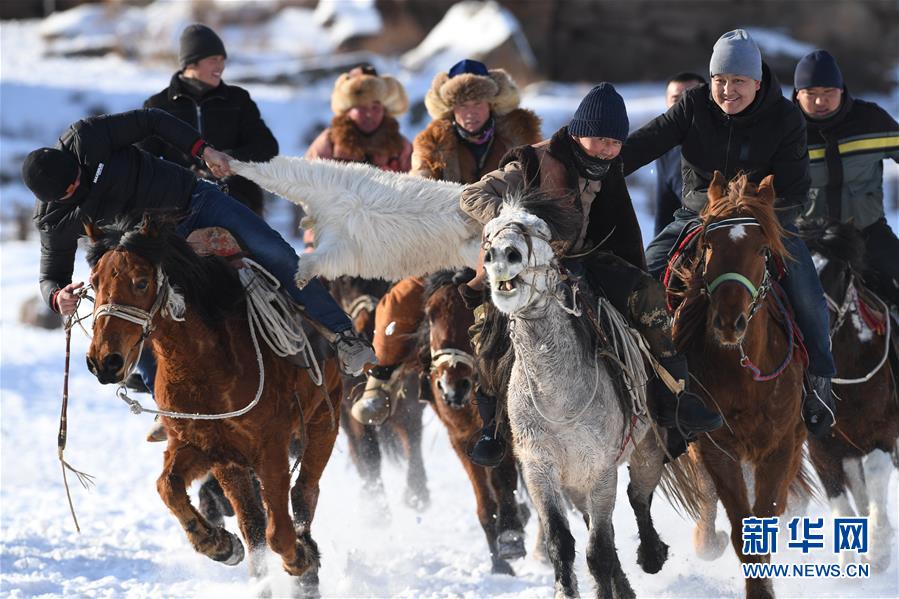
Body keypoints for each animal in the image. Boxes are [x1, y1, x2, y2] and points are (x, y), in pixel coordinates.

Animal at [82, 216, 342, 596]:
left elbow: (280, 532)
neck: (208, 365)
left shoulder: (270, 448)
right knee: (254, 526)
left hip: (324, 420)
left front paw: (300, 558)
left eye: (141, 281)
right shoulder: (208, 449)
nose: (104, 361)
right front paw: (218, 544)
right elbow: (168, 486)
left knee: (304, 493)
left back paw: (306, 568)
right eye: (94, 282)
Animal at [422, 270, 528, 576]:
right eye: (430, 314)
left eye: (468, 315)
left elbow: (504, 479)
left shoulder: (505, 433)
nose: (453, 386)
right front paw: (499, 564)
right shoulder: (462, 440)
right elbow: (485, 502)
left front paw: (511, 537)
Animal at [482, 195, 680, 596]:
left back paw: (652, 555)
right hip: (574, 483)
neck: (557, 399)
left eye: (539, 229)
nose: (502, 255)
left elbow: (599, 550)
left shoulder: (601, 470)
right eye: (488, 233)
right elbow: (563, 543)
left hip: (648, 448)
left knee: (638, 497)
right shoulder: (540, 469)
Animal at [672, 171, 804, 596]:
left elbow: (766, 516)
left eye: (762, 249)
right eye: (708, 245)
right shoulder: (716, 448)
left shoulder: (780, 446)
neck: (745, 378)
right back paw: (705, 539)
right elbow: (738, 526)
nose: (729, 322)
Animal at [800, 220, 896, 572]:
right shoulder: (821, 445)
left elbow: (877, 472)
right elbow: (839, 497)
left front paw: (880, 548)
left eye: (838, 271)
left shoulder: (885, 431)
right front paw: (849, 562)